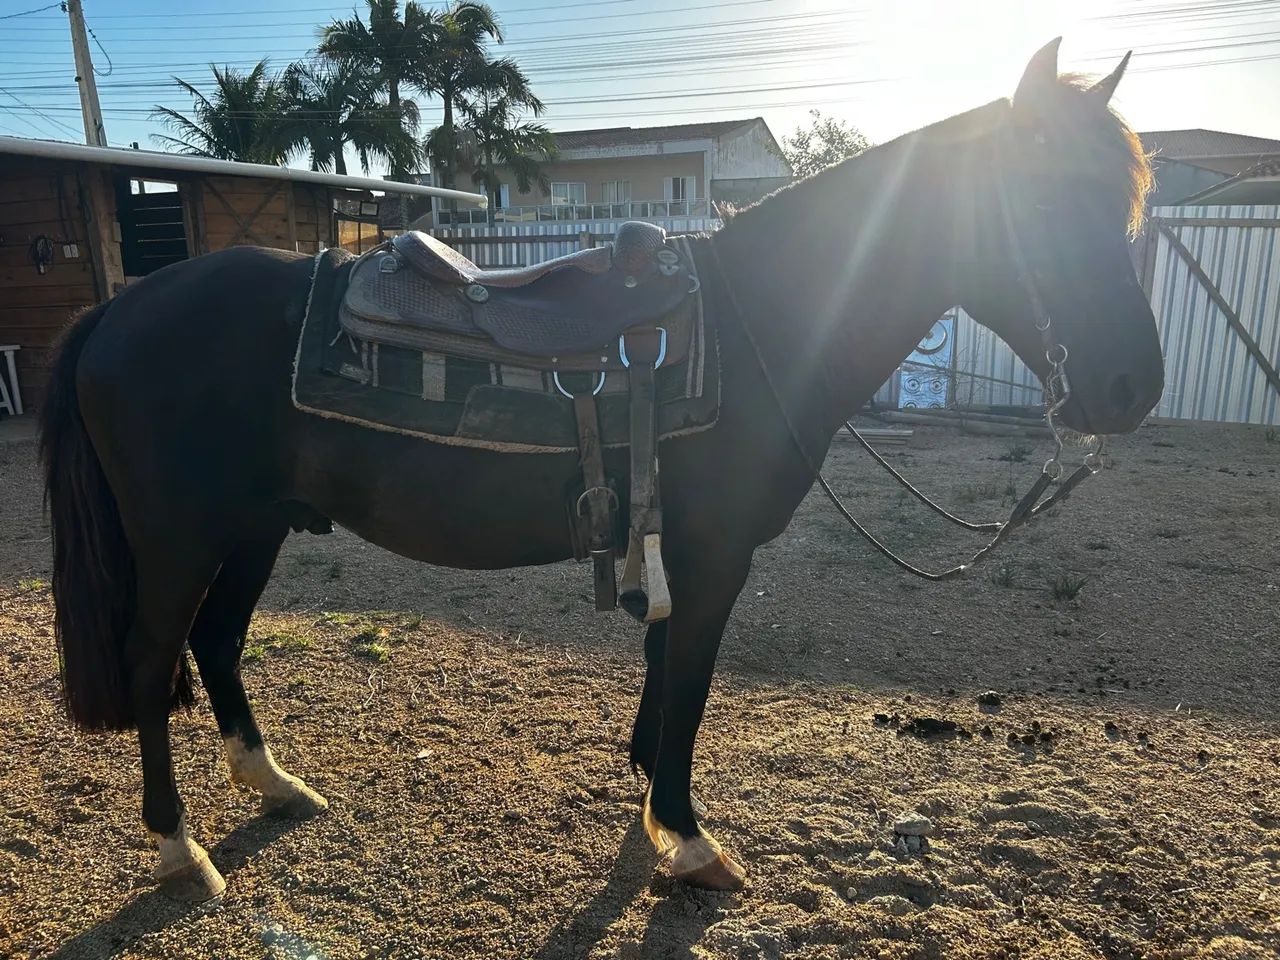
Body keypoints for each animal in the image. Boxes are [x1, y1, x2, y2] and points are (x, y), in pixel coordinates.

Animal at [39, 40, 1162, 902]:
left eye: (1125, 201)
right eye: (1042, 196)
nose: (1130, 387)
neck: (764, 322)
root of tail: (118, 309)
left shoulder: (673, 548)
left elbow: (665, 673)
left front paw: (650, 802)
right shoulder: (714, 558)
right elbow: (690, 686)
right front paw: (691, 839)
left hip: (258, 525)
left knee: (218, 642)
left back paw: (273, 786)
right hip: (179, 538)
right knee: (153, 658)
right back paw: (179, 847)